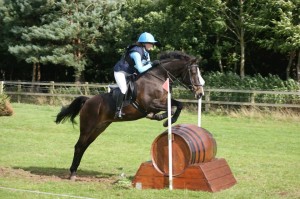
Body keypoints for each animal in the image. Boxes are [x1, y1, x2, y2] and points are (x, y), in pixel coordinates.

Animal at [55, 50, 204, 180]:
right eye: (193, 72)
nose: (200, 93)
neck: (157, 79)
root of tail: (88, 100)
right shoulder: (150, 105)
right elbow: (172, 108)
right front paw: (163, 120)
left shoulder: (164, 101)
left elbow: (179, 105)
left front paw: (166, 120)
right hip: (88, 127)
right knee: (79, 146)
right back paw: (72, 173)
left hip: (99, 128)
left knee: (84, 146)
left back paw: (74, 170)